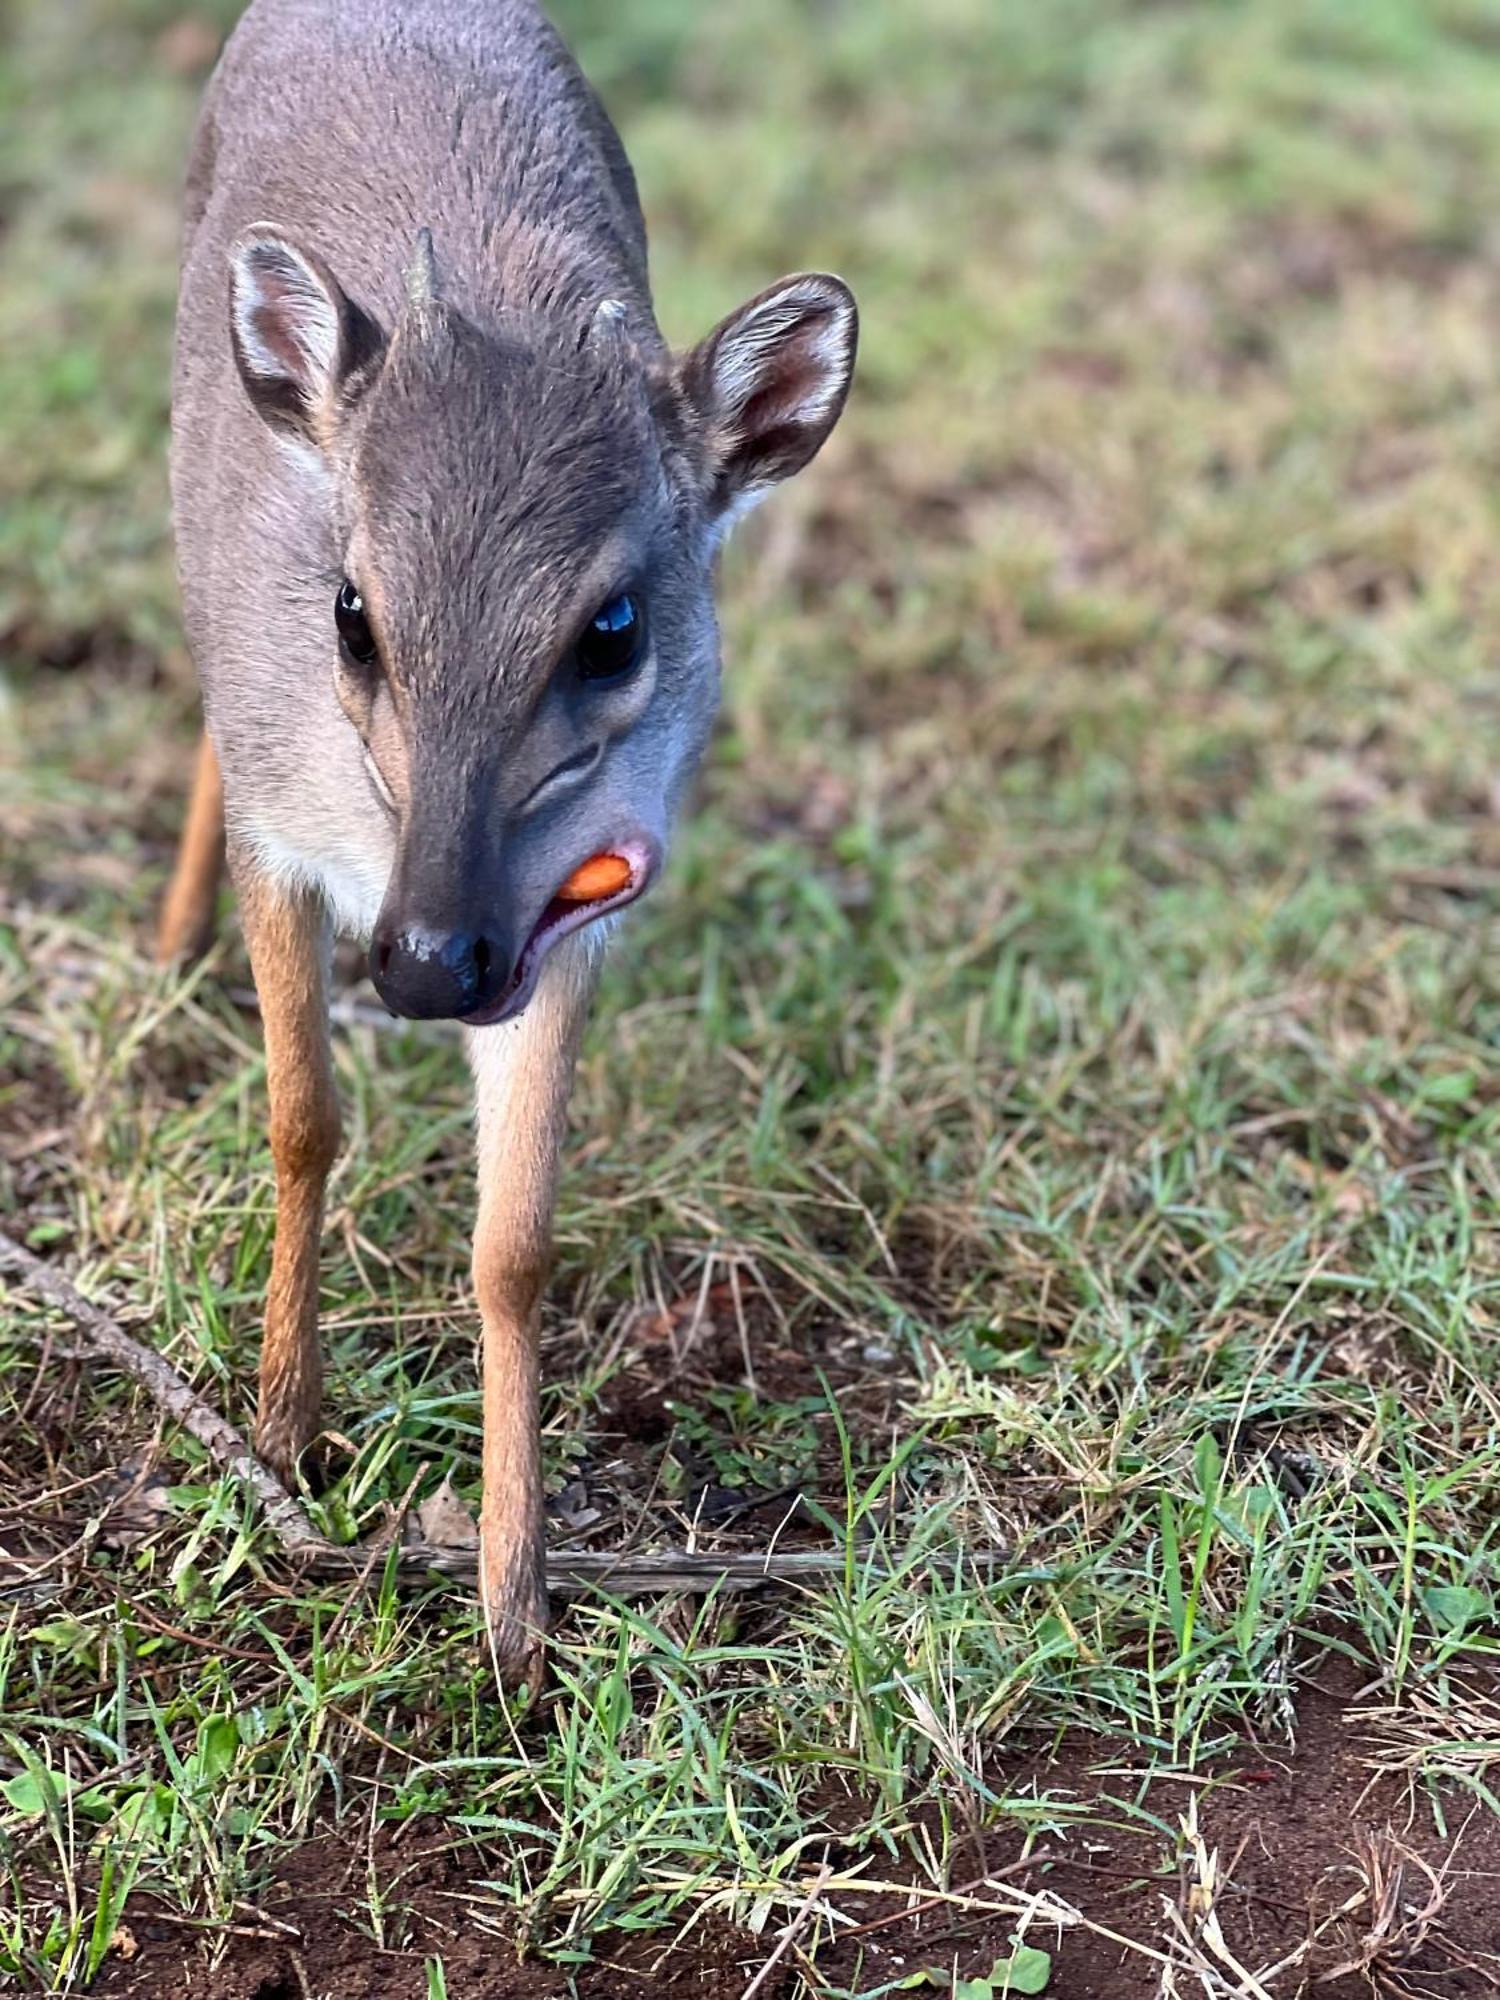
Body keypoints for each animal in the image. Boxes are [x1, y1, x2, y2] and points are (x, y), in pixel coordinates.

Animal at [160, 0, 864, 1680]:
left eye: (611, 627)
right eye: (354, 610)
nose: (426, 963)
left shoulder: (570, 916)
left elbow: (515, 1246)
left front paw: (513, 1608)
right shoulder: (290, 830)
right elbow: (300, 1119)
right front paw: (286, 1432)